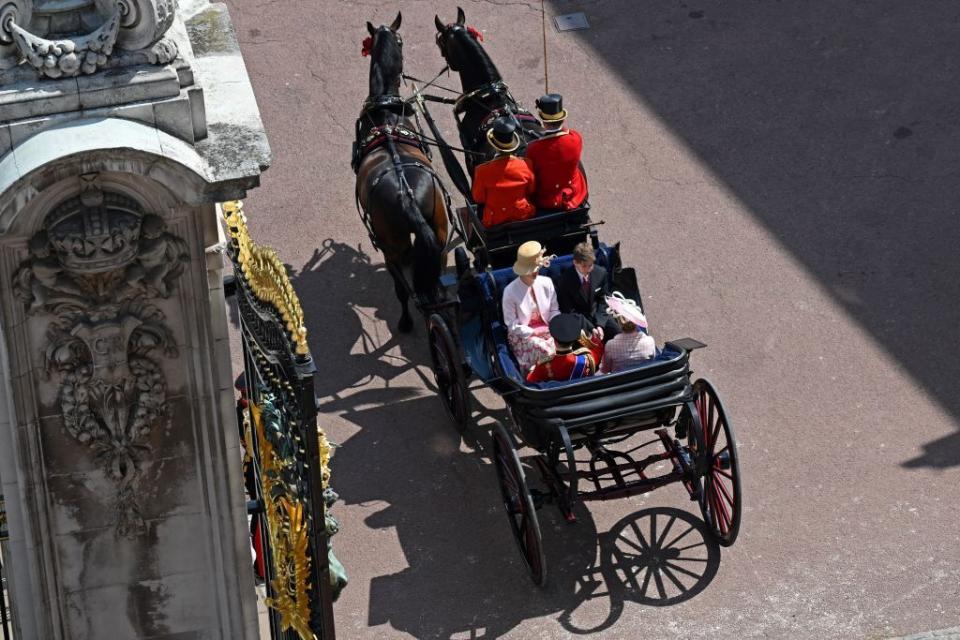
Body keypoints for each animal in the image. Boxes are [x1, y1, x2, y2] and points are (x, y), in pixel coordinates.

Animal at [356, 15, 450, 332]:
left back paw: (408, 321)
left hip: (391, 248)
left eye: (399, 40)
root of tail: (408, 198)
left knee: (404, 288)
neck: (385, 116)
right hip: (440, 232)